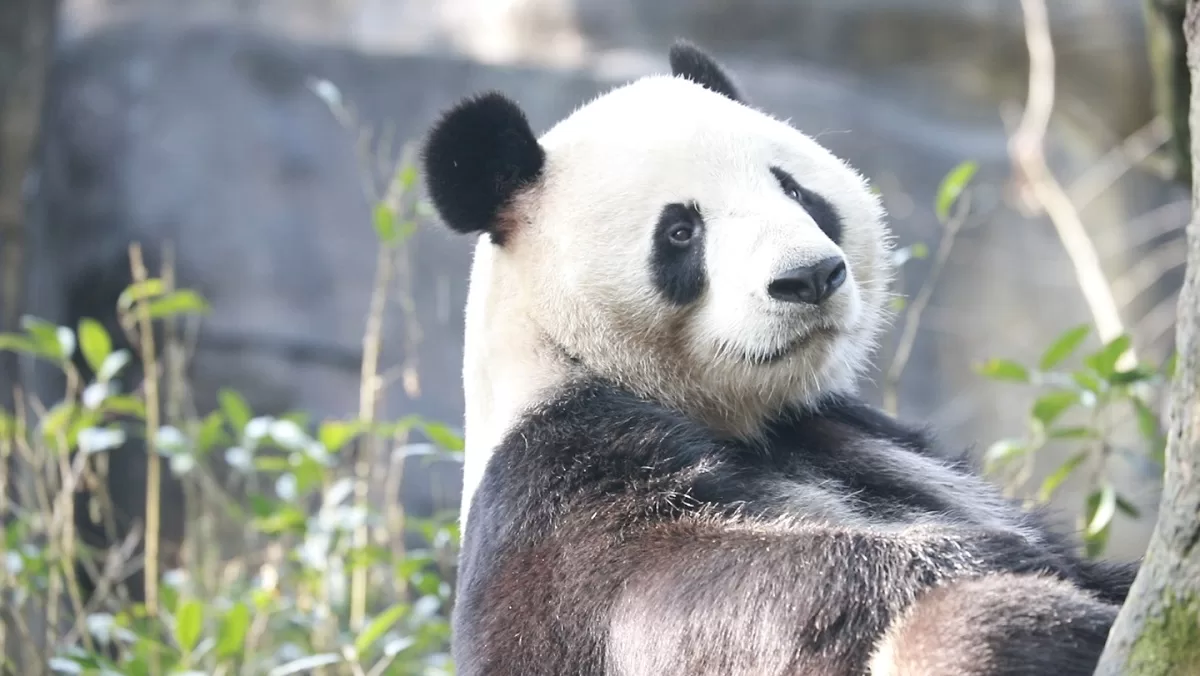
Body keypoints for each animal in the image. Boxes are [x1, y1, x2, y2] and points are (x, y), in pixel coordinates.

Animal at [420, 41, 1139, 676]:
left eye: (795, 191)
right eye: (680, 230)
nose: (811, 277)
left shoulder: (848, 432)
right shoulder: (559, 476)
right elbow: (688, 588)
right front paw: (999, 561)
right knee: (962, 632)